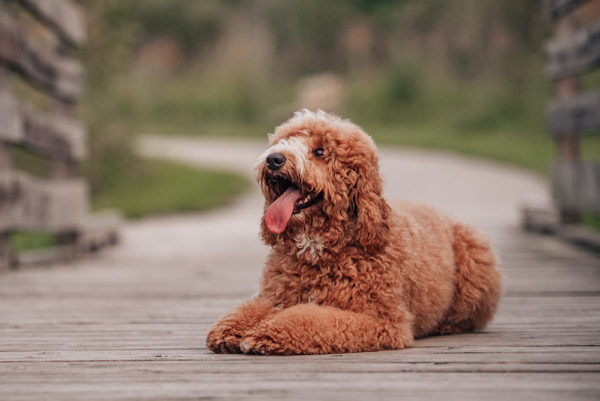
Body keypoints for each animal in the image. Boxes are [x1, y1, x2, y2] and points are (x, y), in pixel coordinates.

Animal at [206, 108, 502, 354]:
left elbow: (310, 319)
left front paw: (267, 332)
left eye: (320, 151)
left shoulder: (381, 321)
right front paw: (232, 328)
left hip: (476, 259)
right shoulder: (276, 296)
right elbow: (252, 309)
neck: (320, 248)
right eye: (285, 141)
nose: (274, 158)